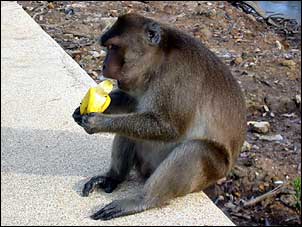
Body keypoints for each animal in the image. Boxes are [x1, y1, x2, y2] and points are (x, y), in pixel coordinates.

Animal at [72, 13, 245, 221]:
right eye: (107, 48)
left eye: (113, 47)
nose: (104, 65)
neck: (159, 61)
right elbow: (132, 101)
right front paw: (80, 111)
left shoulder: (178, 78)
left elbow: (170, 128)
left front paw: (99, 122)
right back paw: (114, 177)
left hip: (210, 173)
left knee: (197, 150)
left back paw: (143, 200)